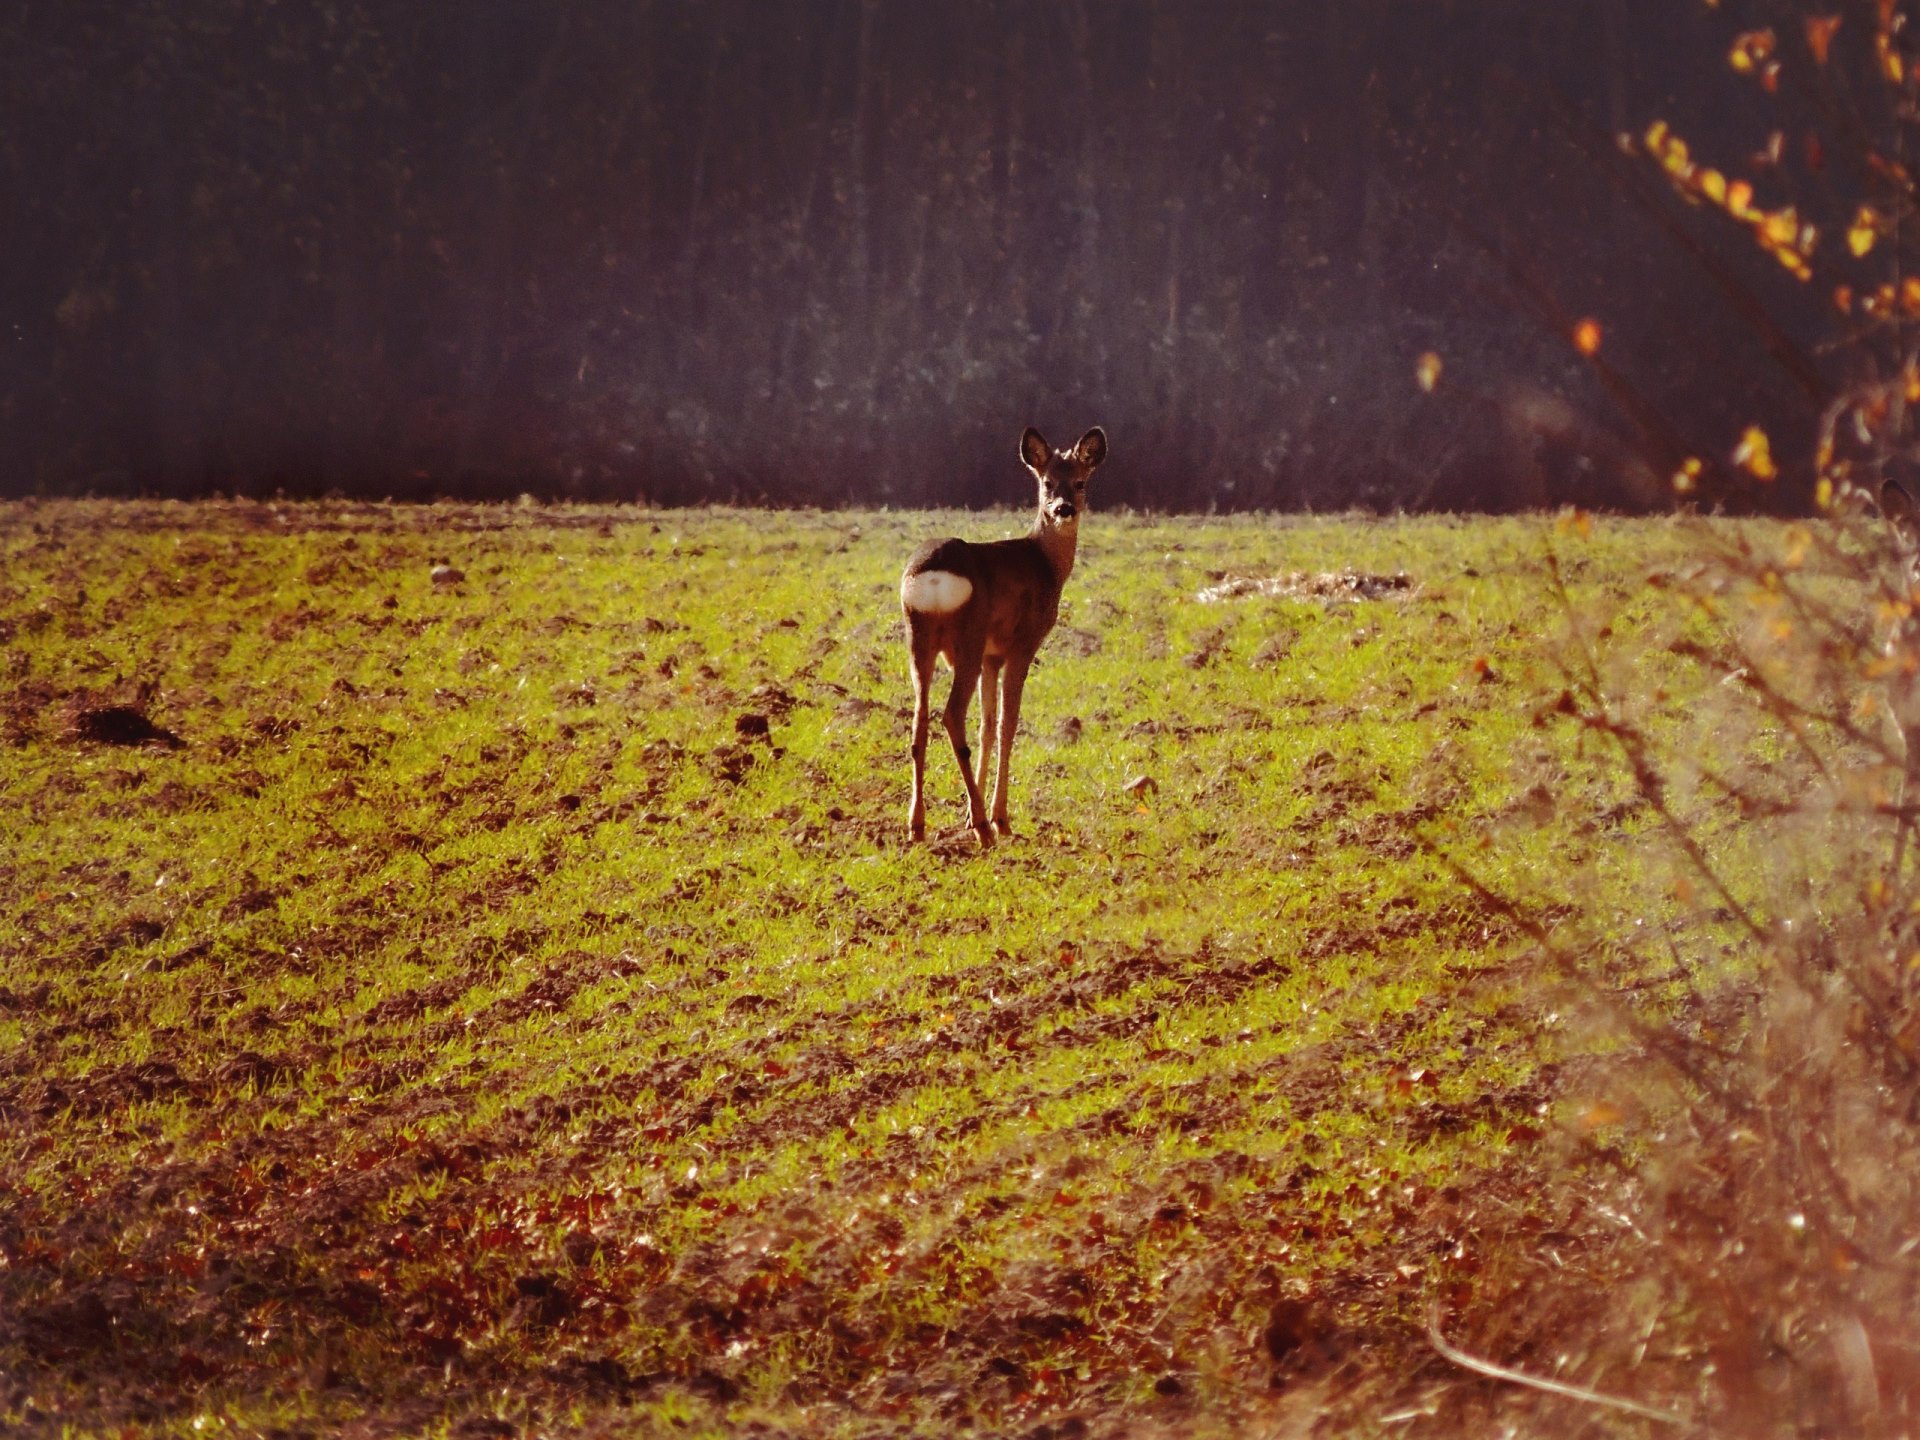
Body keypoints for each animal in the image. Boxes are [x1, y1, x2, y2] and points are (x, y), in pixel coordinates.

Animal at [900, 425, 1107, 848]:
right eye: (1046, 483)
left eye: (1079, 482)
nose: (1063, 508)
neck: (1046, 564)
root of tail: (932, 577)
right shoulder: (1021, 644)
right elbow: (1007, 724)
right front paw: (999, 818)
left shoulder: (990, 656)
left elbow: (987, 724)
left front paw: (967, 813)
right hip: (967, 636)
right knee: (950, 714)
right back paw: (984, 828)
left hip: (919, 638)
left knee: (918, 722)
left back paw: (917, 825)